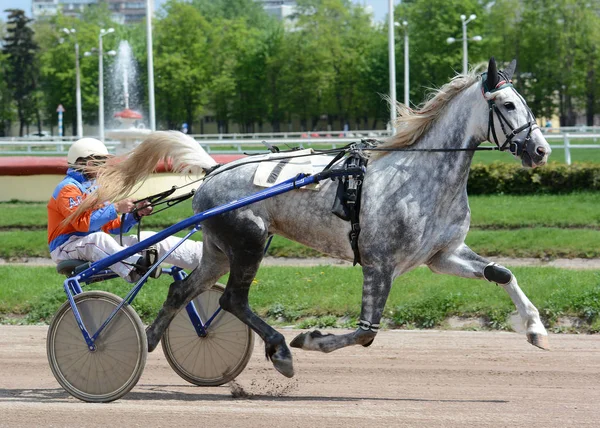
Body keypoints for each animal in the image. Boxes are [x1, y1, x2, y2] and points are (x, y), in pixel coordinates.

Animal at [82, 57, 552, 378]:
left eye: (525, 102)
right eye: (507, 104)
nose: (541, 150)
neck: (419, 176)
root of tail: (215, 169)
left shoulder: (443, 255)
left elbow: (503, 273)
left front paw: (535, 328)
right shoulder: (380, 264)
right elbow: (366, 331)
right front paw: (309, 338)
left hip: (218, 247)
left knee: (183, 292)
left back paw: (147, 339)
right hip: (249, 241)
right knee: (232, 300)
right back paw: (280, 350)